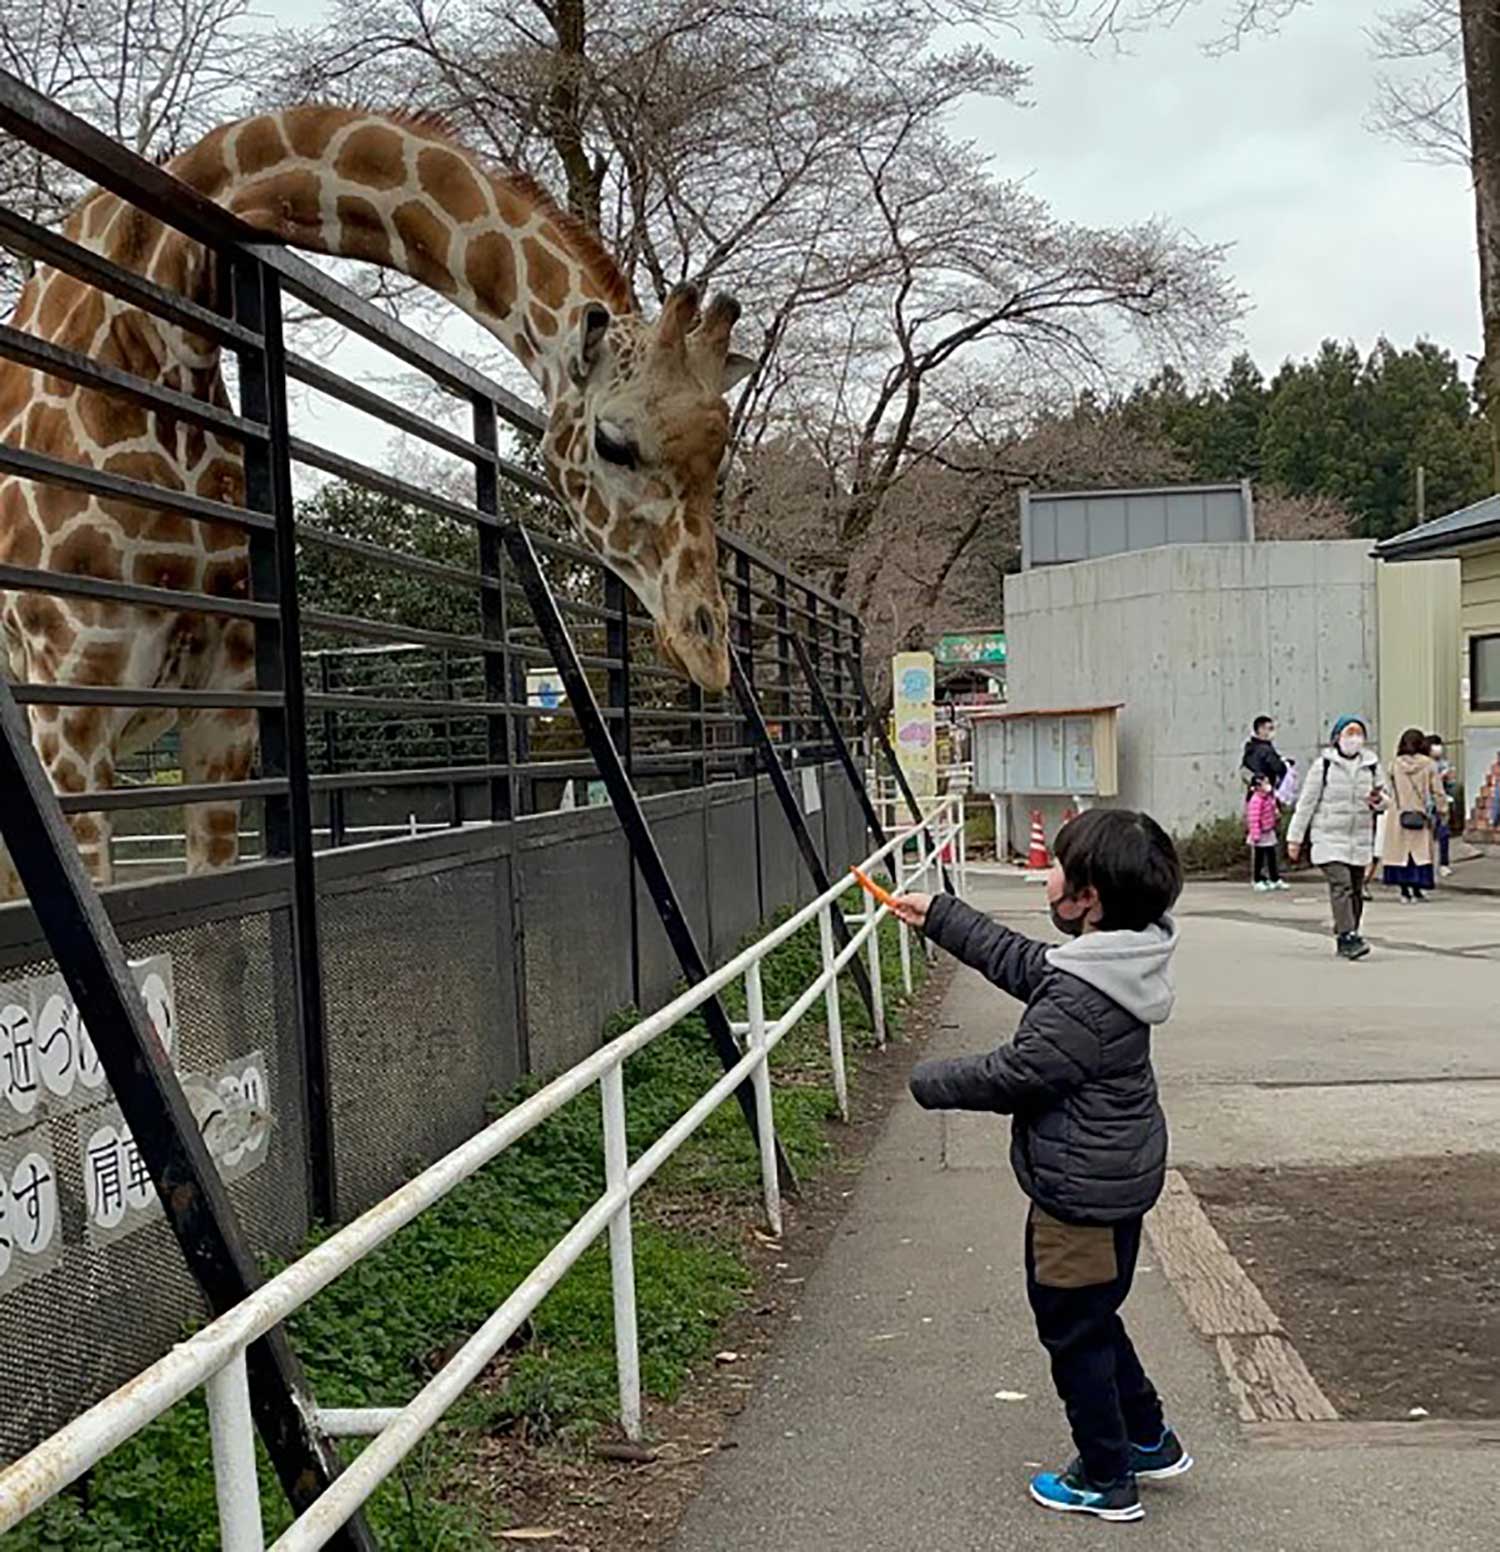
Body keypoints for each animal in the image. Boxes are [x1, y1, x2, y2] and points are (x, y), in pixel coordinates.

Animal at [0, 106, 751, 900]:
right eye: (612, 443)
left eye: (718, 453)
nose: (705, 648)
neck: (145, 337)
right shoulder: (72, 705)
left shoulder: (226, 708)